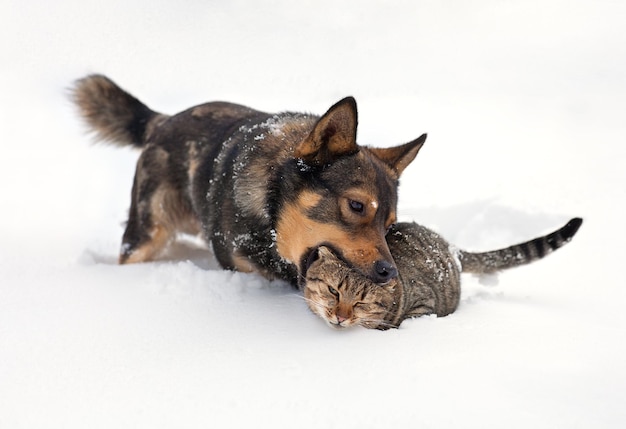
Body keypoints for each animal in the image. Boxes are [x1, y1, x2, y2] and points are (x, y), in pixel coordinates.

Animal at [72, 75, 424, 286]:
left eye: (390, 225)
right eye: (356, 206)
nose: (389, 272)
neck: (270, 219)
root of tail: (163, 121)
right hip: (145, 233)